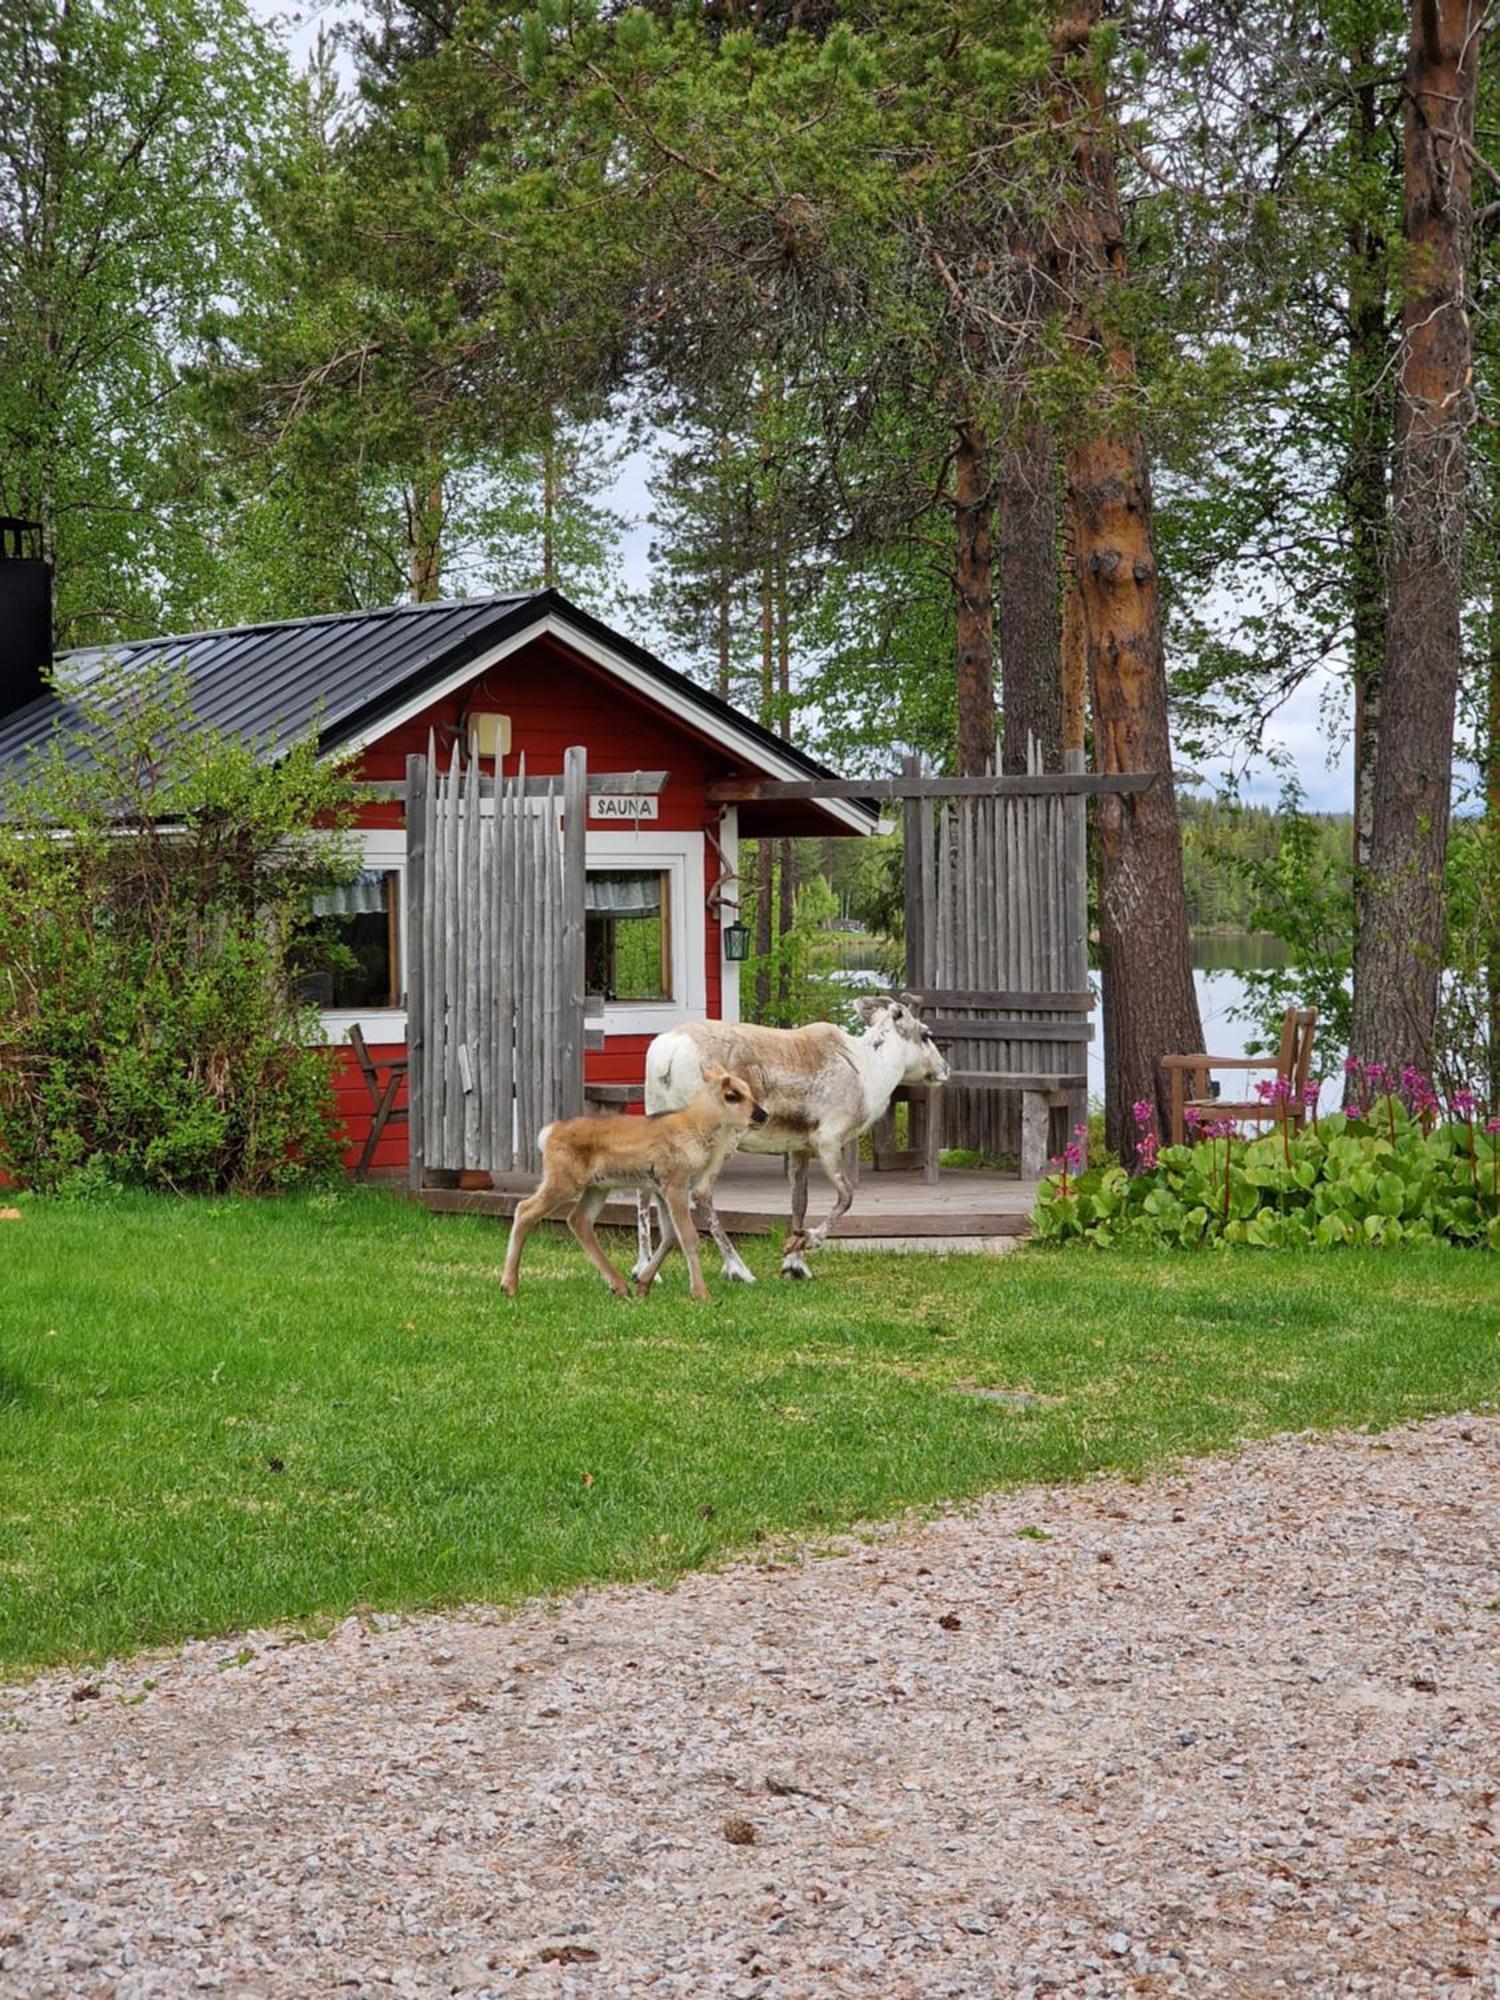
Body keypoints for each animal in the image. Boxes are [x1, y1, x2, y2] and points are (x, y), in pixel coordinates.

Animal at [506, 1072, 768, 1304]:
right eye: (732, 1095)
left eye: (749, 1089)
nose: (762, 1114)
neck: (698, 1134)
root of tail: (546, 1134)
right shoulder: (675, 1183)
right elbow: (688, 1237)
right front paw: (701, 1293)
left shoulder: (661, 1188)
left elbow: (670, 1236)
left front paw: (643, 1283)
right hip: (564, 1179)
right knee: (525, 1209)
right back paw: (509, 1285)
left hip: (597, 1187)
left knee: (578, 1220)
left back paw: (619, 1286)